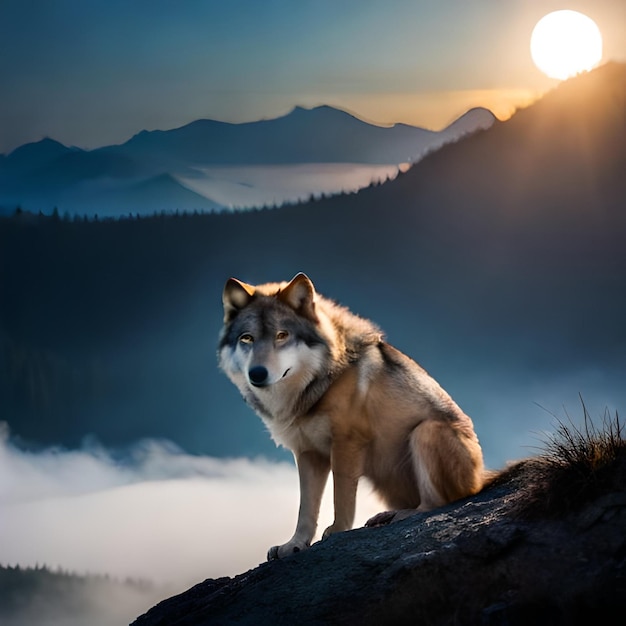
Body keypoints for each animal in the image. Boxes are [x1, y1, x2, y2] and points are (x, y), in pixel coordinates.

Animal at [217, 272, 486, 556]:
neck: (316, 385)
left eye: (282, 335)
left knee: (435, 503)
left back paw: (399, 516)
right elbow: (306, 509)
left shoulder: (346, 443)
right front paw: (294, 545)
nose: (257, 374)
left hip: (426, 431)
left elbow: (342, 497)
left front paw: (336, 531)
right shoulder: (308, 454)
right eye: (247, 338)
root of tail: (482, 478)